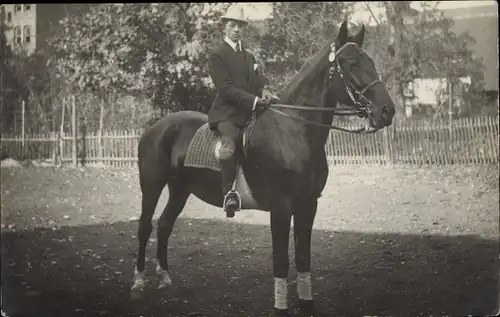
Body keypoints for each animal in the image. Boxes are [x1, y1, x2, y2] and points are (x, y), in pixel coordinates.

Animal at [131, 21, 396, 314]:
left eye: (370, 61)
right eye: (352, 63)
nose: (387, 111)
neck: (294, 130)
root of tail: (155, 128)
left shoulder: (308, 204)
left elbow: (303, 257)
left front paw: (307, 305)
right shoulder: (281, 207)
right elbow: (280, 260)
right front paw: (281, 308)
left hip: (180, 189)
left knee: (165, 224)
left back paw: (164, 277)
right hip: (152, 185)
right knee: (145, 226)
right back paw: (138, 283)